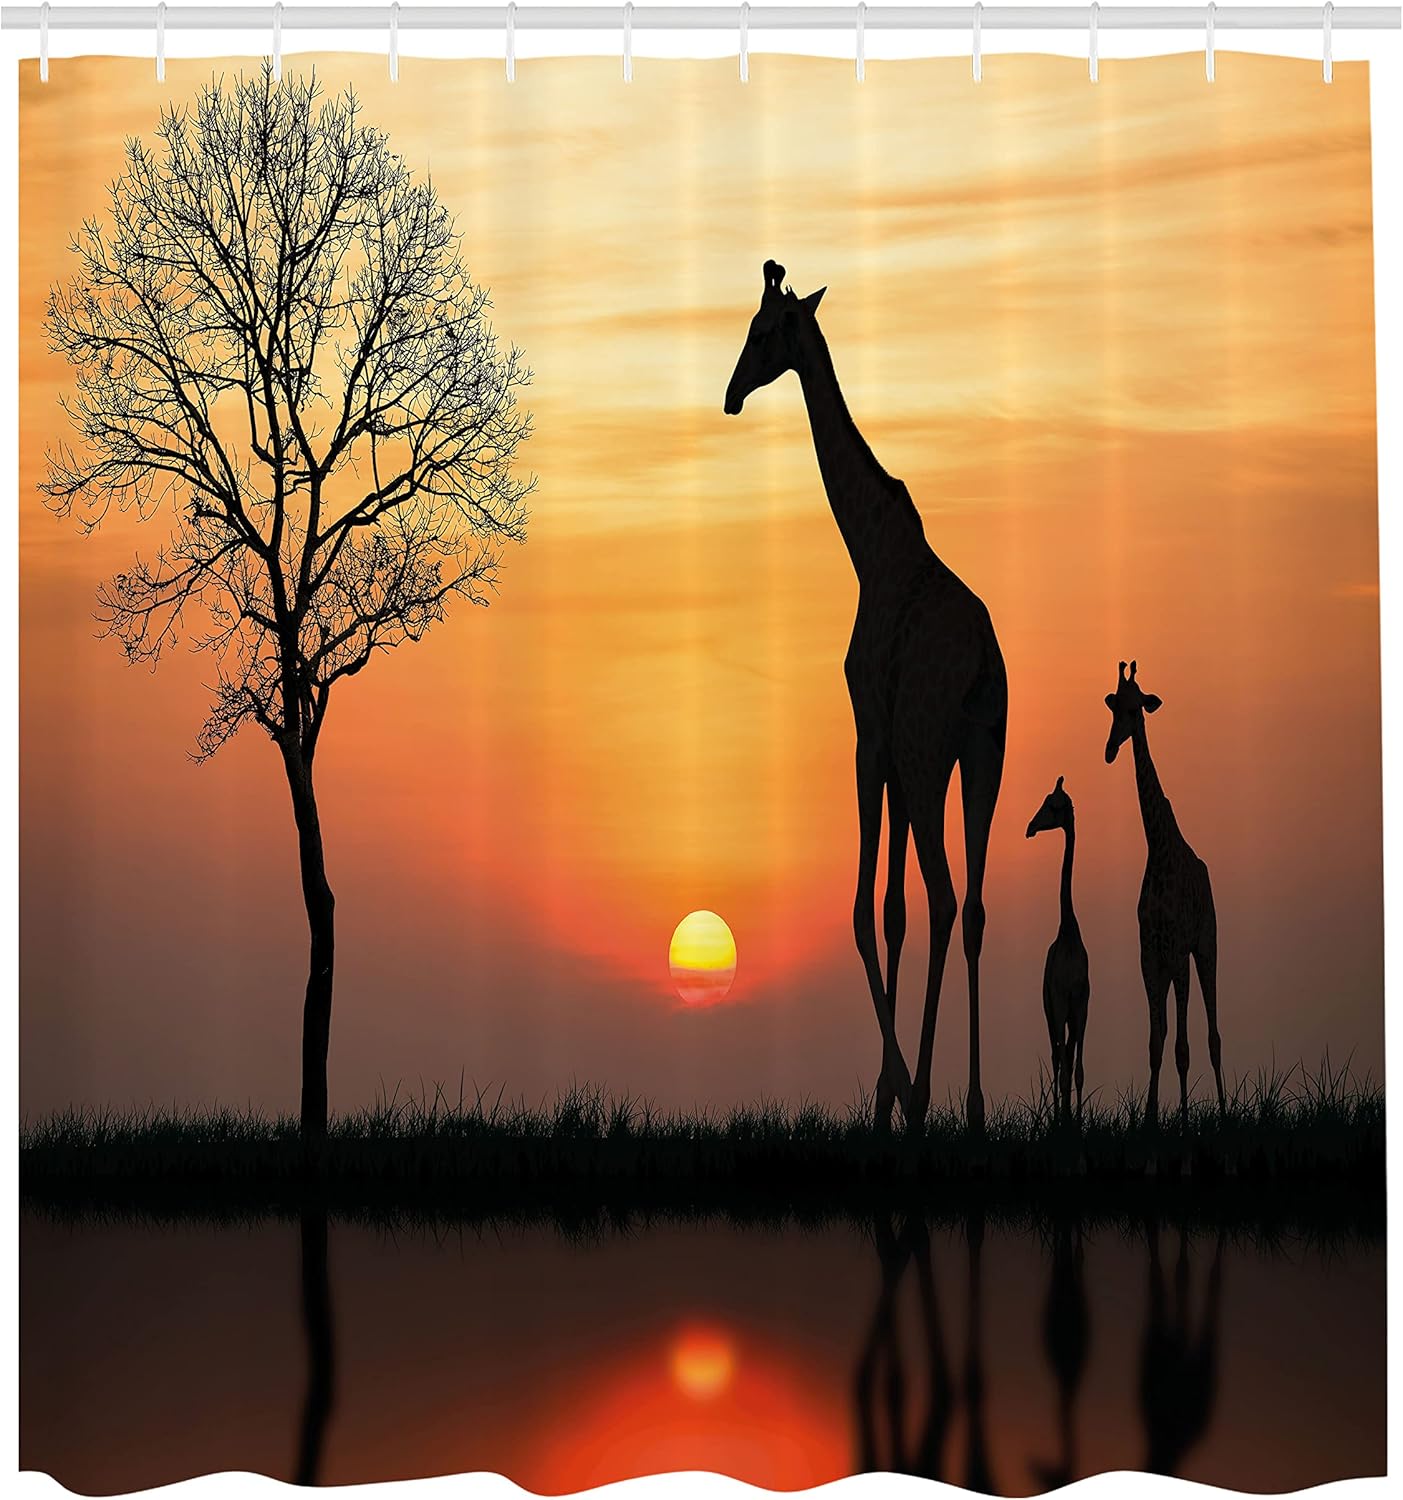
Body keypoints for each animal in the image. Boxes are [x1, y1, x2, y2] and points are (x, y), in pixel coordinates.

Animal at [724, 261, 1008, 1130]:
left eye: (761, 333)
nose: (730, 394)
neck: (868, 547)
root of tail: (981, 660)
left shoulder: (871, 736)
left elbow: (861, 910)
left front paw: (896, 1095)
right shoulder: (903, 753)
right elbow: (891, 911)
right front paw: (889, 1096)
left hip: (924, 752)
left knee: (946, 897)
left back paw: (927, 1094)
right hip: (982, 754)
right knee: (972, 905)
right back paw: (973, 1104)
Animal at [1104, 661, 1226, 1127]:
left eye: (1137, 707)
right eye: (1113, 706)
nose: (1109, 749)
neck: (1157, 847)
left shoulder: (1176, 950)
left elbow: (1181, 1047)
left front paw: (1186, 1120)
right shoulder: (1149, 955)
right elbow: (1156, 1042)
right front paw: (1152, 1116)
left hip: (1206, 947)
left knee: (1213, 1036)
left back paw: (1225, 1112)